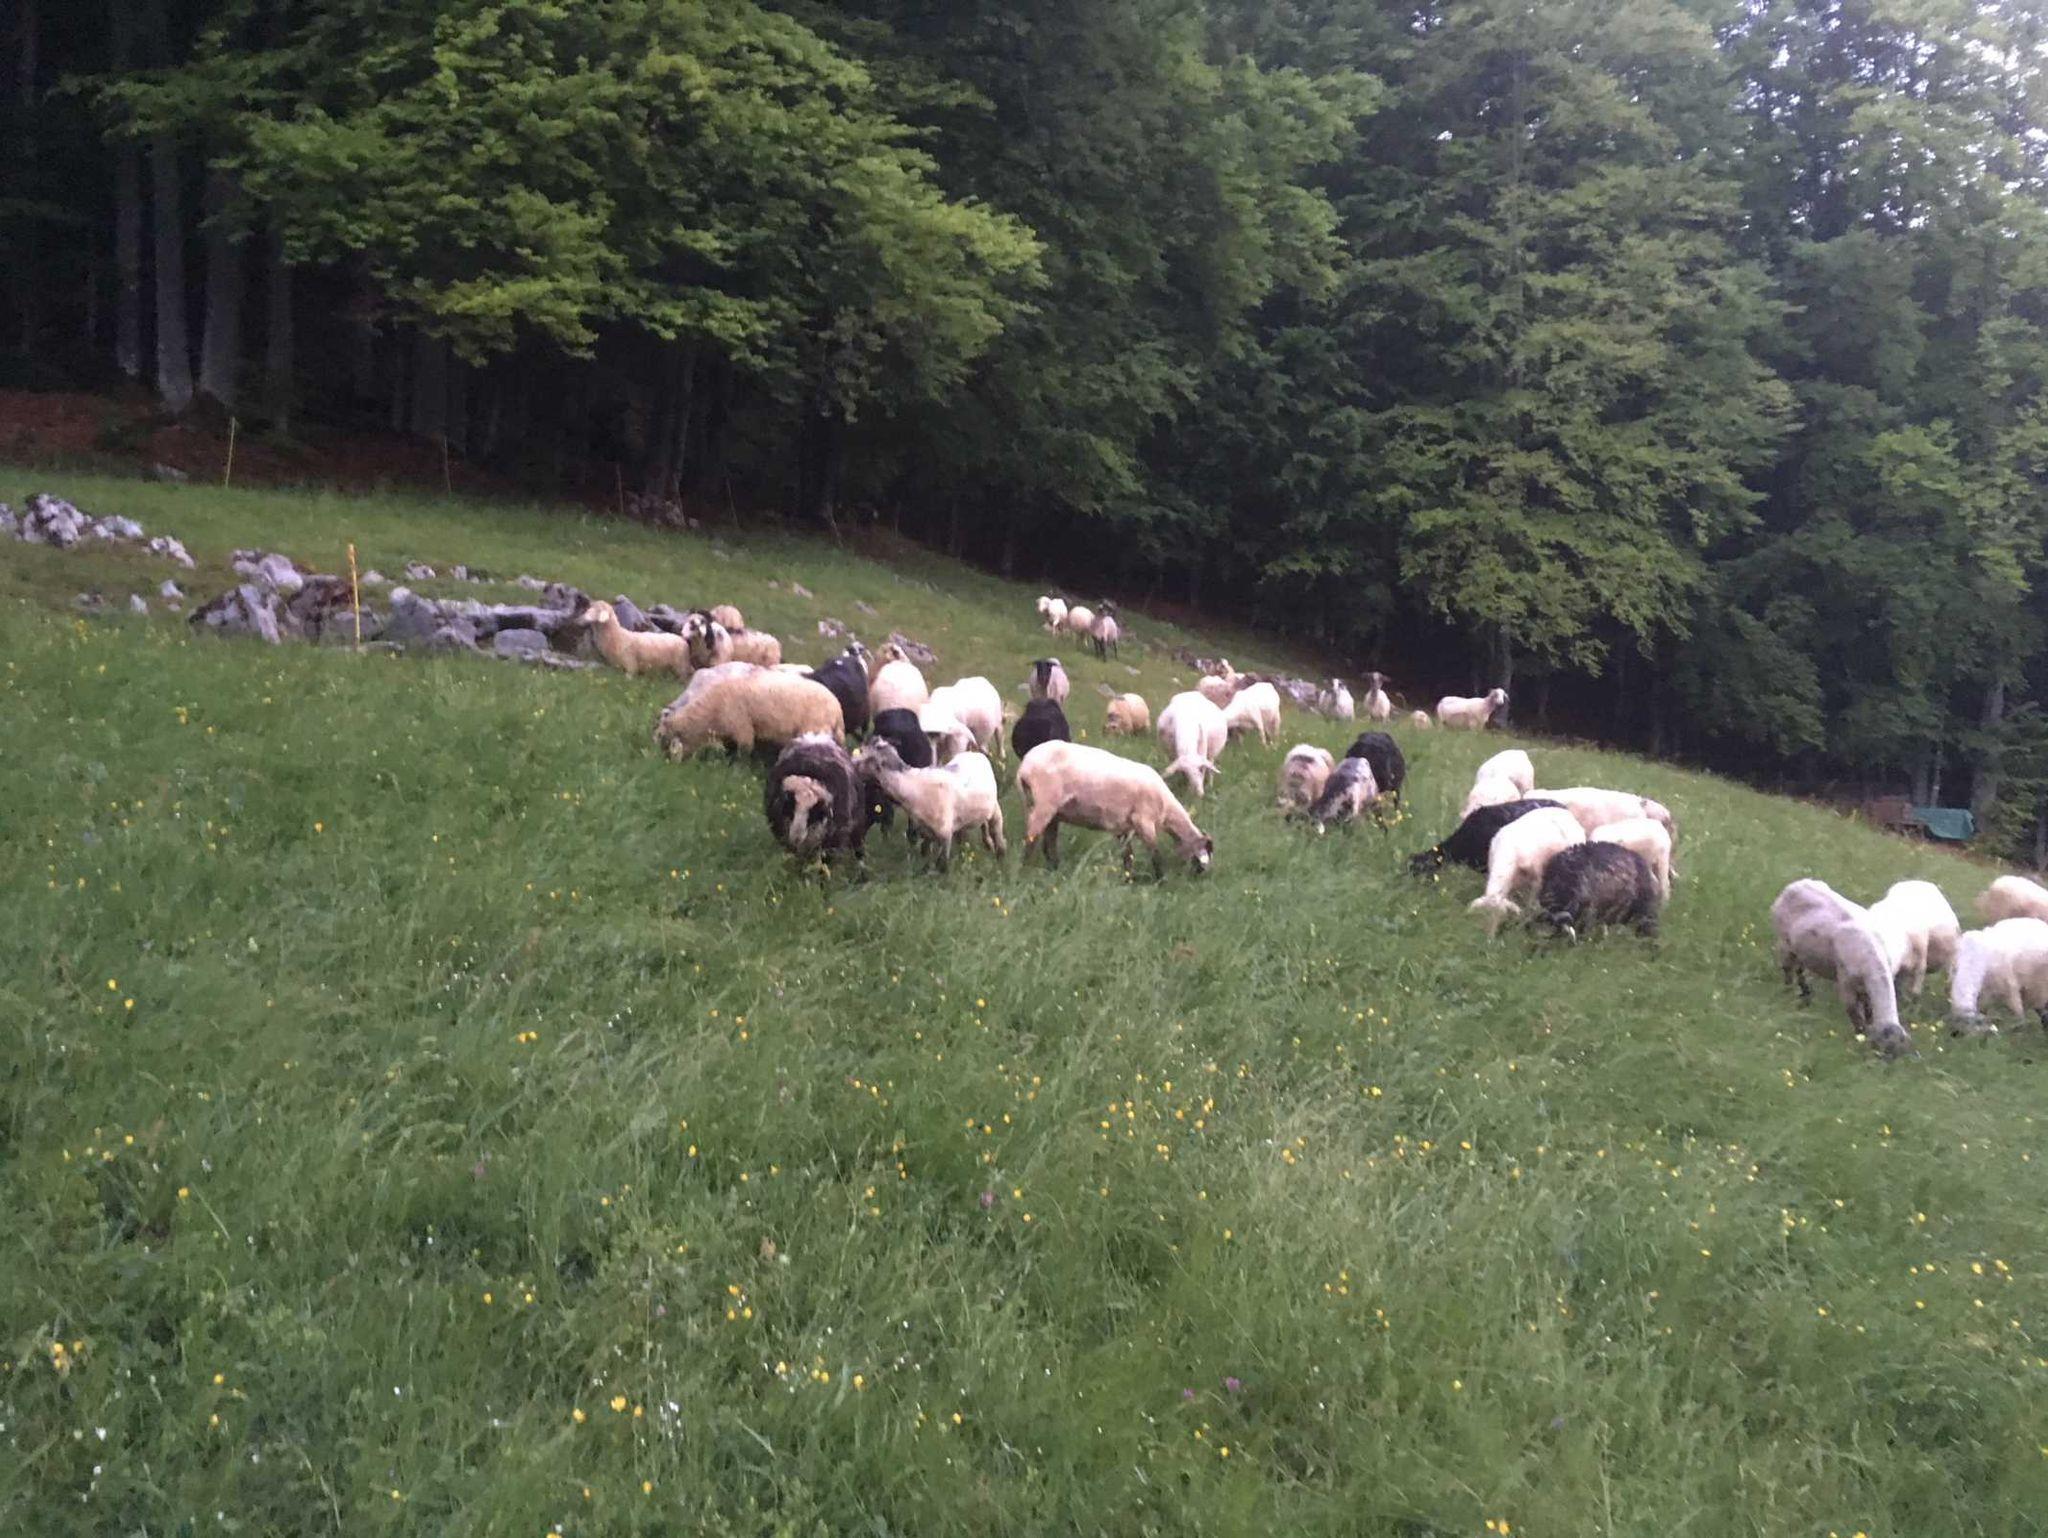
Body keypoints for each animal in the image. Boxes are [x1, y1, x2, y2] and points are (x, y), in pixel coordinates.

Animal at [654, 670, 844, 761]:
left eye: (662, 737)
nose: (662, 763)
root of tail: (837, 708)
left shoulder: (741, 726)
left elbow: (744, 751)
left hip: (815, 728)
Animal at [857, 738, 1005, 867]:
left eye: (865, 758)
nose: (853, 765)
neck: (912, 786)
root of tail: (973, 753)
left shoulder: (944, 834)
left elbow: (942, 865)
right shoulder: (925, 831)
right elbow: (924, 852)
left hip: (995, 809)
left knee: (995, 830)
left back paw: (1000, 856)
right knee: (978, 827)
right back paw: (984, 847)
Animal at [1016, 739, 1213, 876]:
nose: (1199, 875)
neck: (1167, 811)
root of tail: (1025, 765)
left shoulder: (1123, 827)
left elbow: (1128, 855)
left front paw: (1128, 879)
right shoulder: (1144, 821)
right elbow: (1155, 853)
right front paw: (1160, 879)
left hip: (1052, 812)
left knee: (1048, 844)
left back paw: (1054, 869)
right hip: (1044, 804)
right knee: (1031, 840)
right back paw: (1025, 871)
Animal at [1468, 808, 1584, 937]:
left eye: (1500, 914)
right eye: (1481, 916)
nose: (1489, 939)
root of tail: (1566, 812)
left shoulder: (1536, 881)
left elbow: (1531, 906)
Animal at [1770, 878, 1908, 1054]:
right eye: (1883, 1049)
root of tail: (1795, 884)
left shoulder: (1865, 988)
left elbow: (1869, 1012)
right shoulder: (1845, 983)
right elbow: (1855, 1014)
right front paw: (1859, 1036)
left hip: (1800, 950)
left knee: (1800, 971)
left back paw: (1806, 993)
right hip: (1784, 944)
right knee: (1788, 970)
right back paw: (1788, 991)